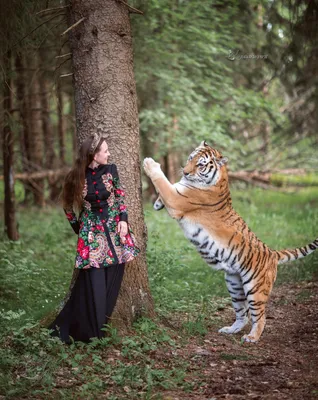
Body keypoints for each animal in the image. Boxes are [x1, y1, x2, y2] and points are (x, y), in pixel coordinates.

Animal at [143, 141, 318, 344]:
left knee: (260, 316)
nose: (185, 172)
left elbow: (163, 182)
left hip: (255, 289)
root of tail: (273, 253)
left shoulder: (176, 199)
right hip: (234, 284)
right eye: (190, 158)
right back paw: (230, 330)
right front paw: (157, 203)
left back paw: (252, 337)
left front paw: (149, 163)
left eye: (200, 165)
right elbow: (168, 186)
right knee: (243, 314)